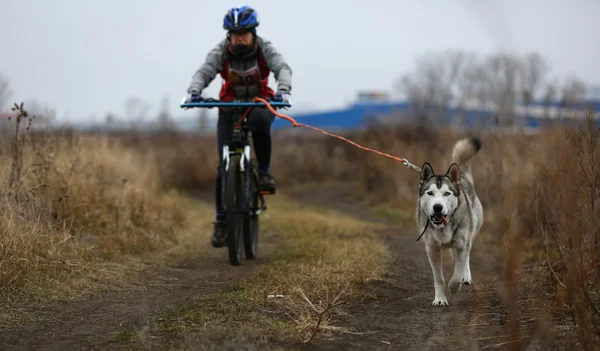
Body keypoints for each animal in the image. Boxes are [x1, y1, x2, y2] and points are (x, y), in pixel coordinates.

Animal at [418, 139, 482, 306]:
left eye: (447, 193)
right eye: (430, 193)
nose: (437, 207)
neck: (443, 227)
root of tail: (462, 177)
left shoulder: (461, 245)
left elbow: (457, 274)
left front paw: (453, 287)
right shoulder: (432, 249)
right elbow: (438, 278)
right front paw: (440, 299)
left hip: (470, 235)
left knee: (466, 257)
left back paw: (466, 275)